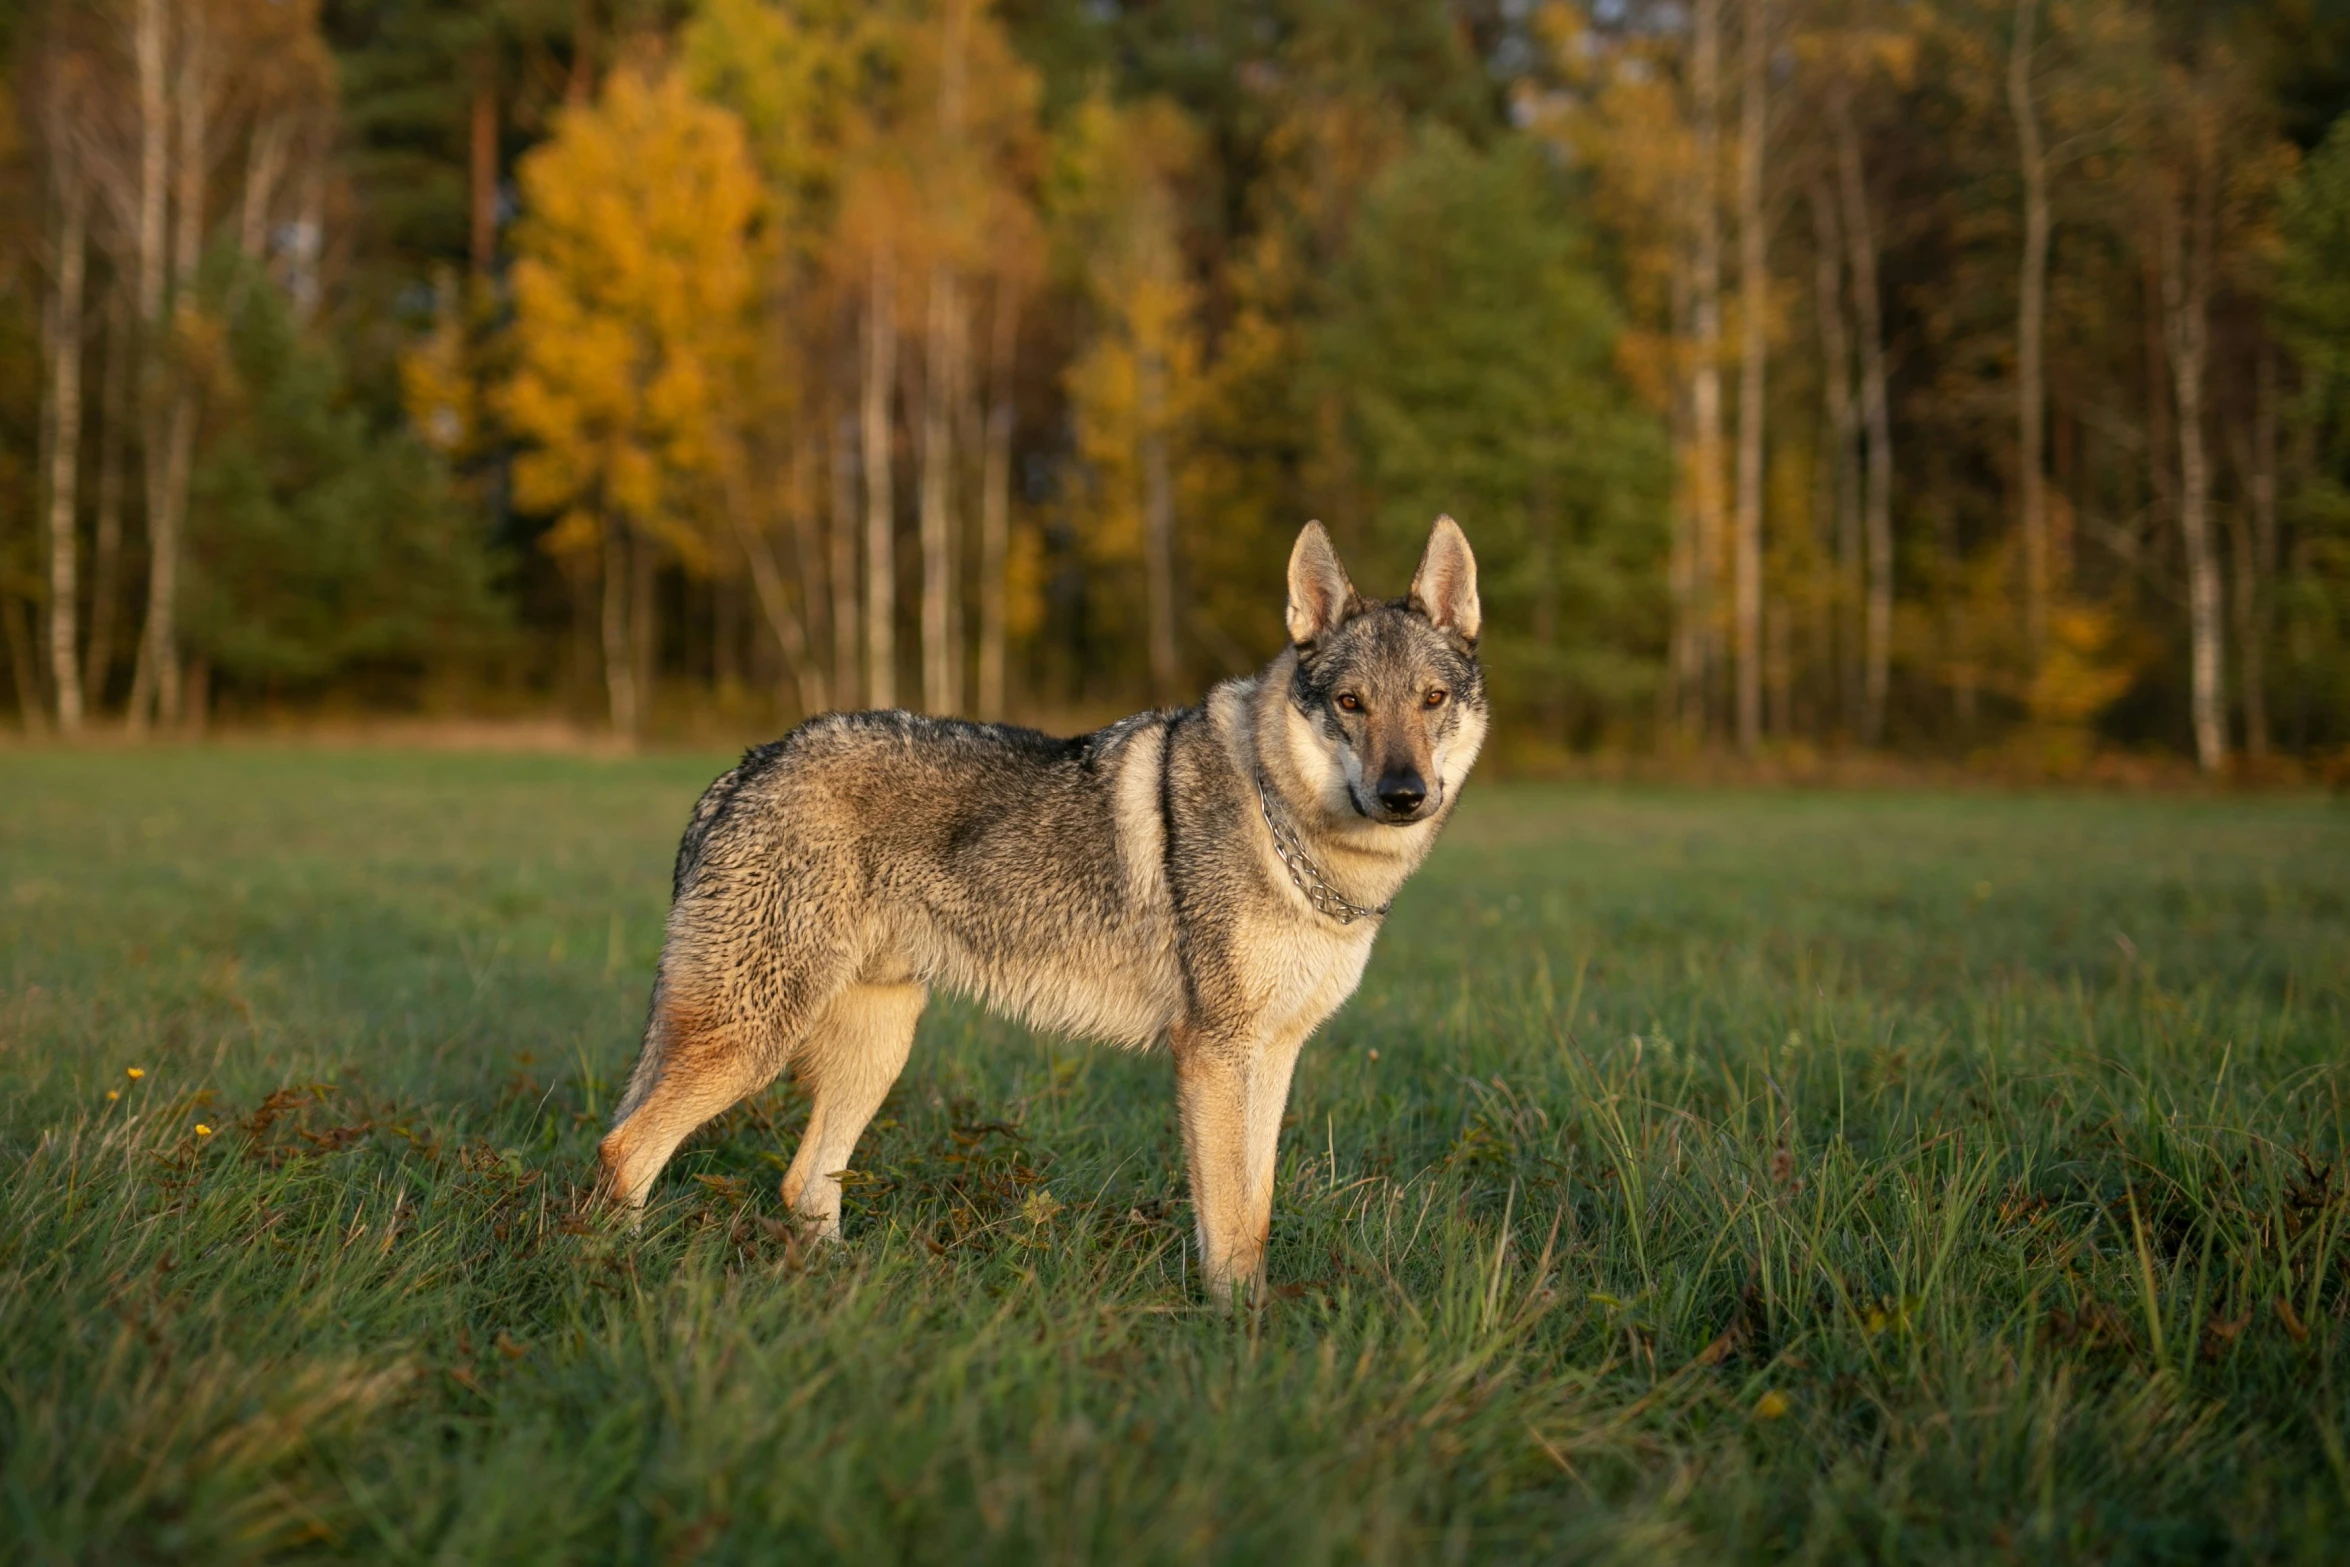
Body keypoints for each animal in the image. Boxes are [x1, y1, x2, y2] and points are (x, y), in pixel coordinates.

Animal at [606, 514, 1485, 1296]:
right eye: (1351, 703)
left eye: (1433, 699)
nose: (1404, 794)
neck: (1291, 828)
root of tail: (747, 767)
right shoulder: (1213, 1053)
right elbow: (1232, 1227)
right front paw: (1237, 1335)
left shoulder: (1272, 1054)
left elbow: (1255, 1212)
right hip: (753, 1039)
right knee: (624, 1152)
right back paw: (619, 1274)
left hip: (878, 1047)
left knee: (803, 1183)